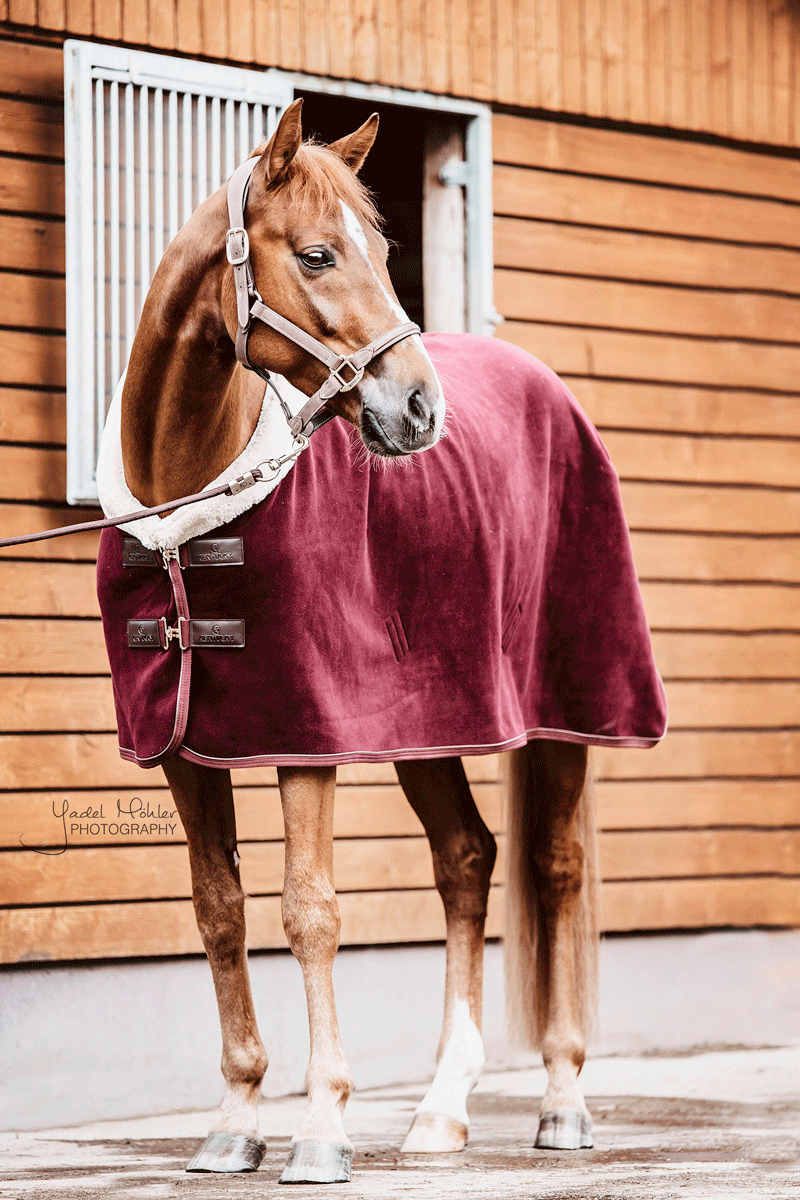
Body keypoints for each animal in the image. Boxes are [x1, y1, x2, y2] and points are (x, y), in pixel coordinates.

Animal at [117, 100, 594, 1180]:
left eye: (383, 249)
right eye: (318, 254)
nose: (419, 408)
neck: (193, 506)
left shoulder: (307, 738)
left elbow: (310, 911)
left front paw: (323, 1127)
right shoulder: (185, 749)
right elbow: (218, 908)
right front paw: (236, 1119)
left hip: (564, 720)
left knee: (553, 869)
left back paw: (560, 1100)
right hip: (427, 728)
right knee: (466, 859)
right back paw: (440, 1110)